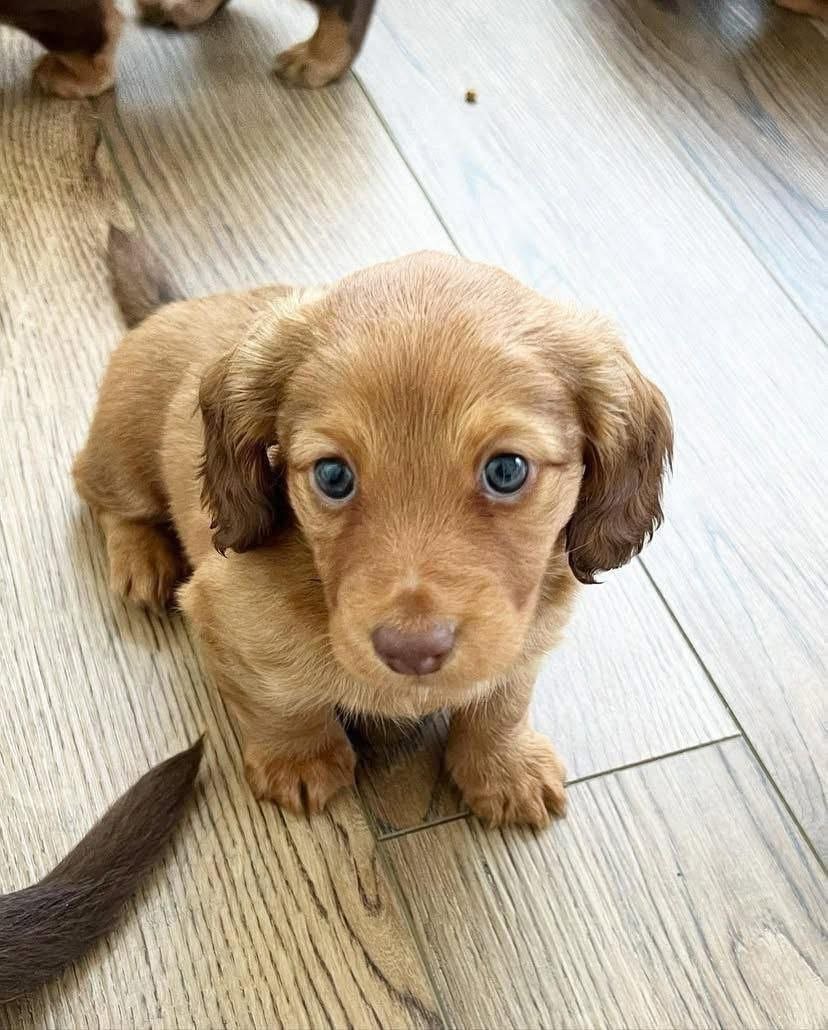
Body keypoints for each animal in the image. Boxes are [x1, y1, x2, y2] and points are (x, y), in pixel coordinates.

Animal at [73, 228, 672, 828]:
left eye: (508, 470)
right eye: (333, 475)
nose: (413, 652)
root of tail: (175, 305)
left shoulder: (524, 637)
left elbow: (503, 700)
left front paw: (505, 767)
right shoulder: (224, 620)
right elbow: (281, 702)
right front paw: (301, 759)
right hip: (122, 455)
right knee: (99, 494)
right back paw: (141, 559)